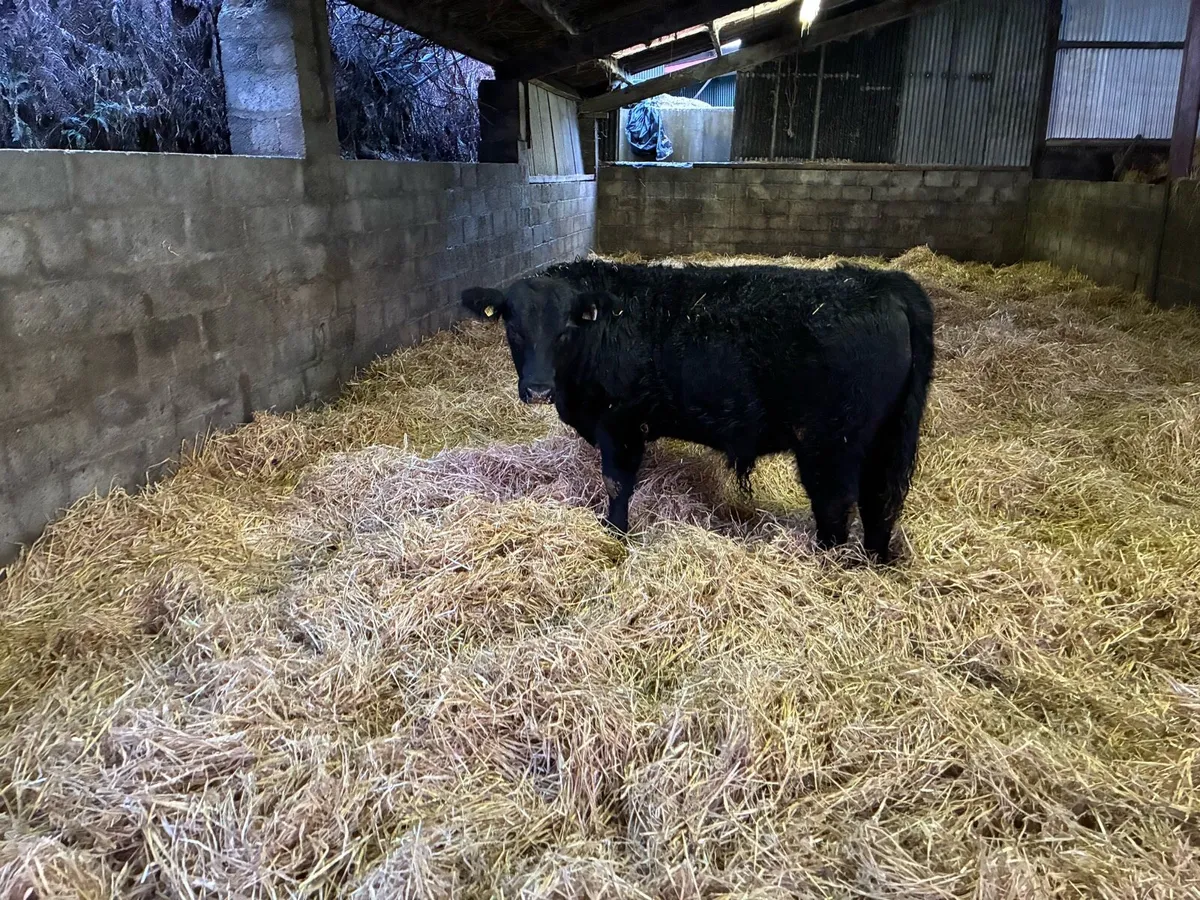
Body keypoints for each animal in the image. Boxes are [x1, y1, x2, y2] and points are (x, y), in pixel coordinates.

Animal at [461, 259, 934, 563]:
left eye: (564, 330)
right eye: (513, 327)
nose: (538, 389)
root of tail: (883, 284)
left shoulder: (620, 424)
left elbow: (617, 485)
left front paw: (615, 536)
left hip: (830, 444)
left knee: (836, 507)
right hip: (886, 438)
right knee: (880, 501)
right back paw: (874, 562)